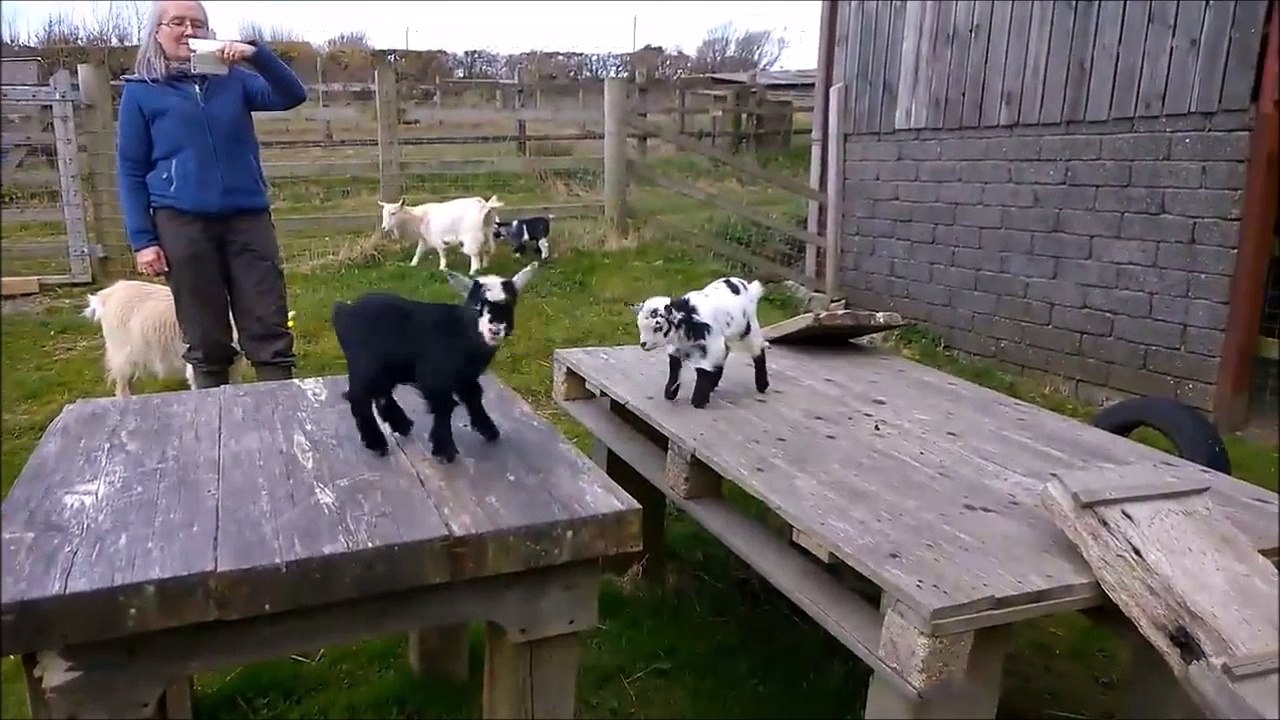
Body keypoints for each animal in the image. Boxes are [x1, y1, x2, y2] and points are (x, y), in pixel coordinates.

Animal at [331, 262, 539, 462]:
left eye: (509, 305)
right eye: (476, 306)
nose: (494, 330)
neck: (461, 331)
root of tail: (344, 310)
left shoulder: (465, 376)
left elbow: (473, 396)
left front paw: (488, 429)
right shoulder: (436, 375)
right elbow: (444, 406)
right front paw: (444, 449)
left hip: (385, 366)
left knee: (380, 392)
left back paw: (400, 423)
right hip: (365, 364)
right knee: (358, 396)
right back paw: (376, 442)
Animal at [629, 276, 769, 408]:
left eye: (657, 327)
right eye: (640, 326)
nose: (643, 344)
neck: (689, 317)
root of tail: (749, 287)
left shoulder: (711, 343)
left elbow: (703, 369)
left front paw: (698, 401)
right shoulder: (678, 347)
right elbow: (675, 366)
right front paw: (670, 393)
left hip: (748, 328)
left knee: (758, 349)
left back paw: (762, 385)